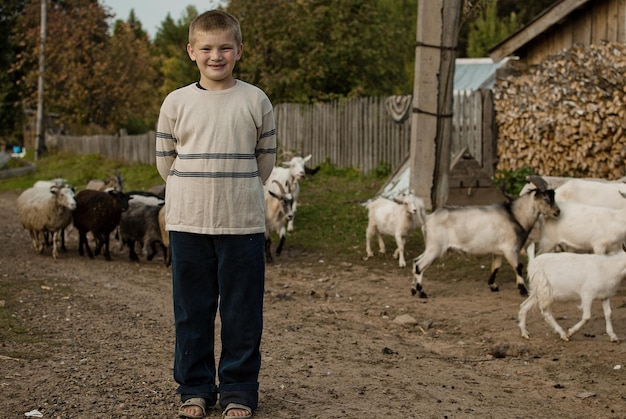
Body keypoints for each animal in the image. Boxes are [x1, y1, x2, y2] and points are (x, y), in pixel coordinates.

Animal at [410, 176, 560, 298]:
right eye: (546, 198)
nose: (557, 212)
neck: (514, 215)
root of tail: (427, 218)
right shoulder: (510, 249)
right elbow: (518, 266)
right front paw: (523, 290)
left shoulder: (499, 251)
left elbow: (496, 266)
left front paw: (493, 286)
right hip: (436, 248)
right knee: (419, 265)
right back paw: (422, 293)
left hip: (431, 246)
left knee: (415, 261)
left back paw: (413, 289)